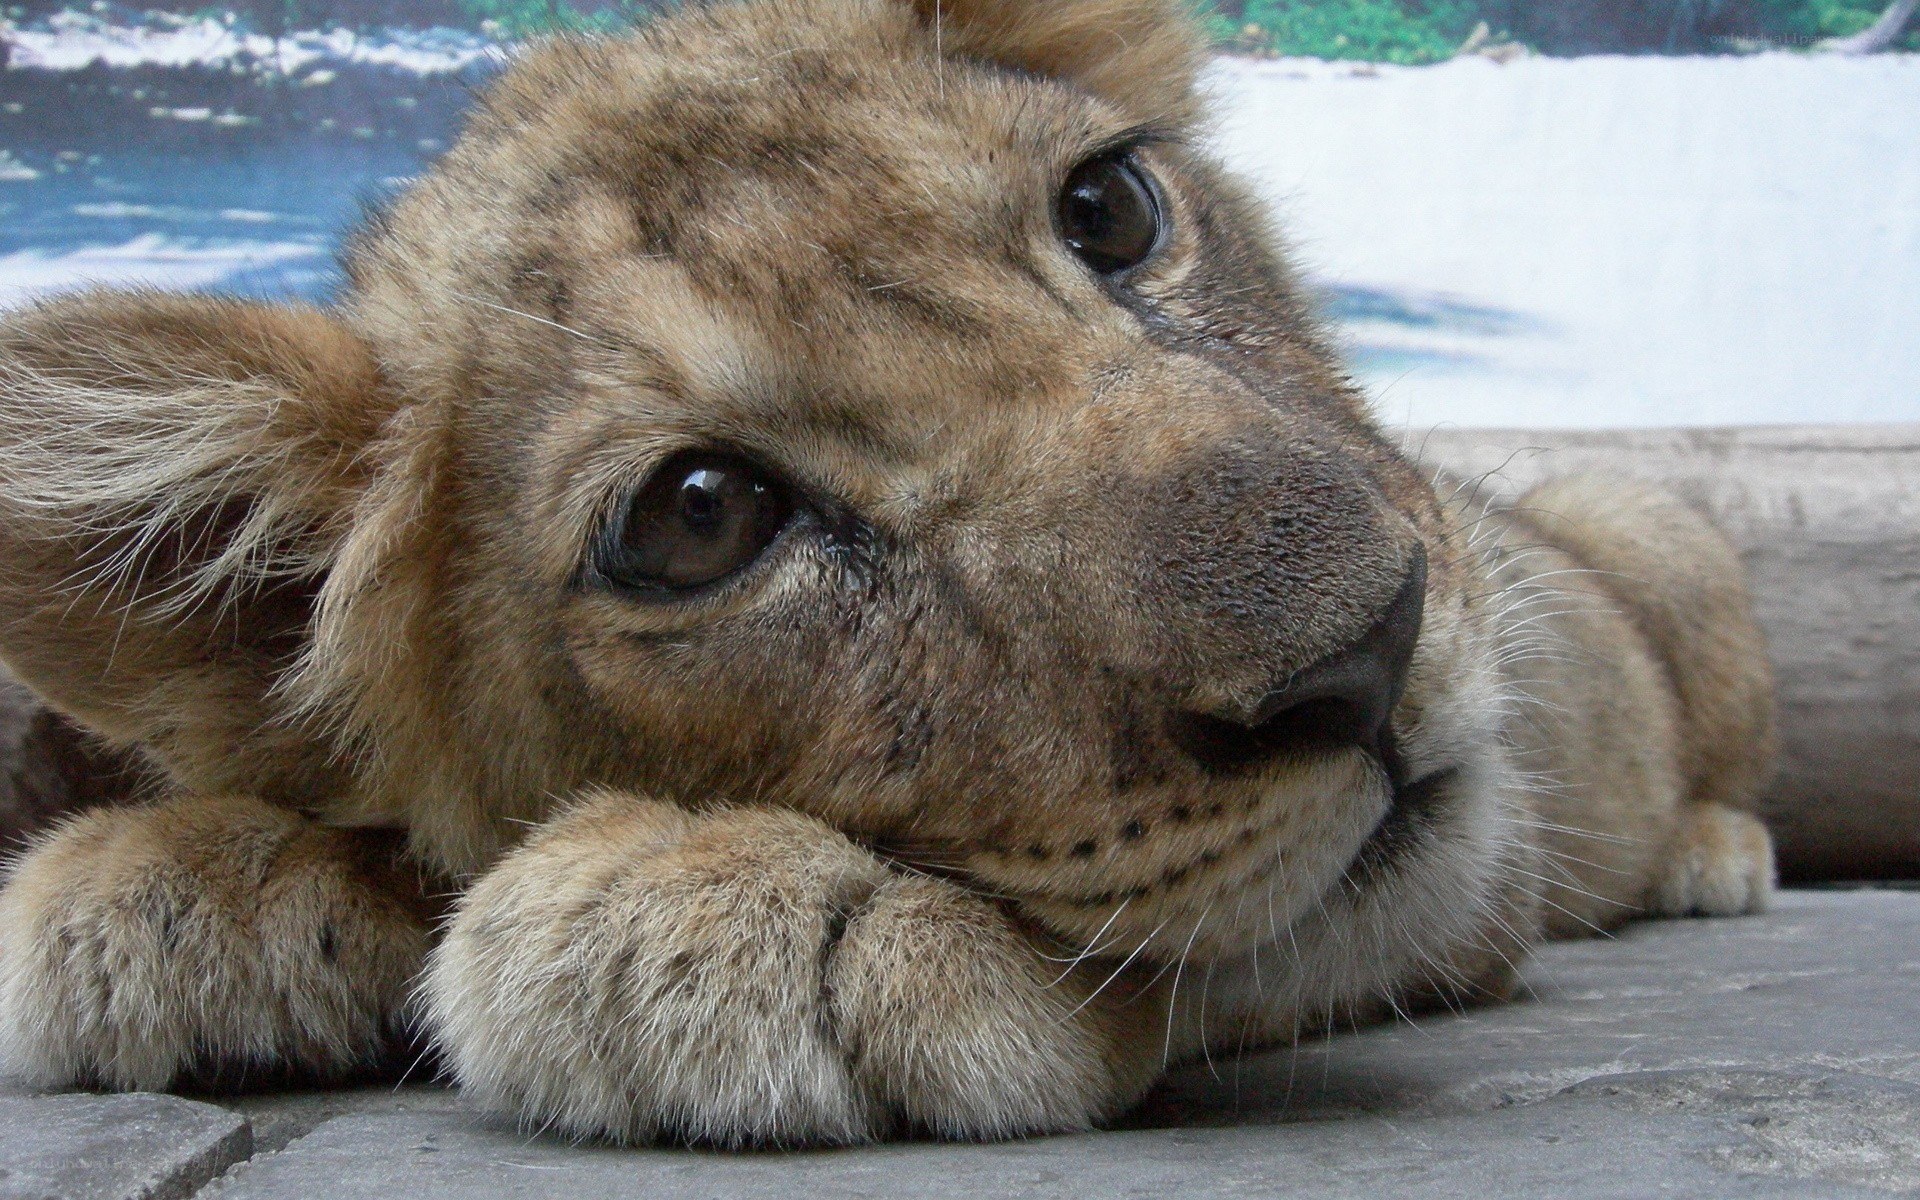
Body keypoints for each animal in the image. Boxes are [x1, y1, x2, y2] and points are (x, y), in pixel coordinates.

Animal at [0, 0, 1775, 1148]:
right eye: (699, 515)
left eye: (1110, 206)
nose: (1376, 646)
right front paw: (175, 881)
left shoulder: (1484, 880)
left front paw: (738, 911)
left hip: (1651, 519)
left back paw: (1717, 855)